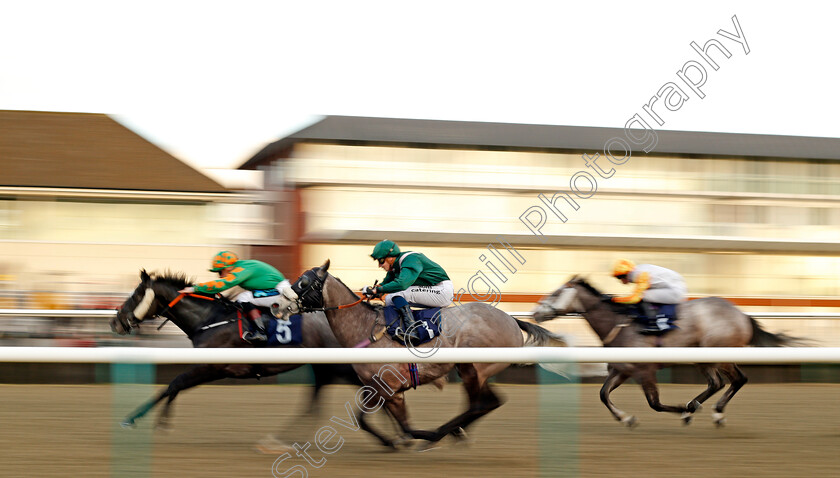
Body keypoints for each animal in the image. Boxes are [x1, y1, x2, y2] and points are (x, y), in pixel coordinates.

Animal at [274, 262, 564, 448]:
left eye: (304, 281)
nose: (276, 304)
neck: (364, 326)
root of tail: (513, 321)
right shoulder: (380, 389)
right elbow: (370, 421)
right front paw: (393, 441)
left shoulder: (386, 388)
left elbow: (398, 425)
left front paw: (410, 438)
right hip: (474, 371)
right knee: (489, 402)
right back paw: (455, 433)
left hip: (473, 368)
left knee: (478, 404)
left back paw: (440, 434)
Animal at [532, 274, 800, 428]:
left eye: (557, 292)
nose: (536, 312)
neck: (619, 324)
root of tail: (742, 315)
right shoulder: (623, 370)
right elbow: (603, 394)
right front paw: (626, 418)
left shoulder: (645, 370)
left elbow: (655, 403)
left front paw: (682, 410)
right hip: (704, 358)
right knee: (720, 382)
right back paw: (703, 409)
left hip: (718, 352)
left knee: (737, 379)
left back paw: (708, 412)